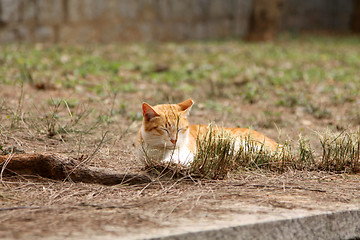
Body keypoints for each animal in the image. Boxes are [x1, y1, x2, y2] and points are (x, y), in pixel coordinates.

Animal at [137, 98, 278, 166]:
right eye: (164, 129)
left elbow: (178, 157)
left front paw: (169, 161)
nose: (174, 140)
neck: (159, 150)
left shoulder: (188, 152)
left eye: (180, 129)